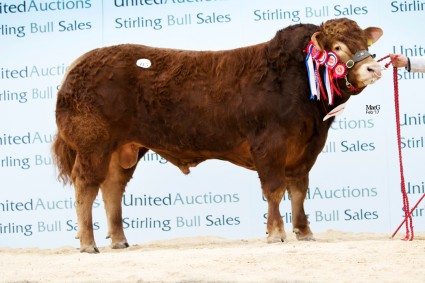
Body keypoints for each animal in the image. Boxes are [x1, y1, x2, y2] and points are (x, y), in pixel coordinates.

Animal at [51, 17, 382, 253]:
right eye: (337, 47)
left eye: (363, 42)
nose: (373, 68)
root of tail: (77, 66)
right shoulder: (269, 145)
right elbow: (274, 189)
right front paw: (276, 233)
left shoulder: (307, 148)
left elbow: (299, 190)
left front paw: (304, 232)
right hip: (93, 145)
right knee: (86, 186)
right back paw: (88, 243)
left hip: (124, 149)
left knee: (112, 188)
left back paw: (119, 240)